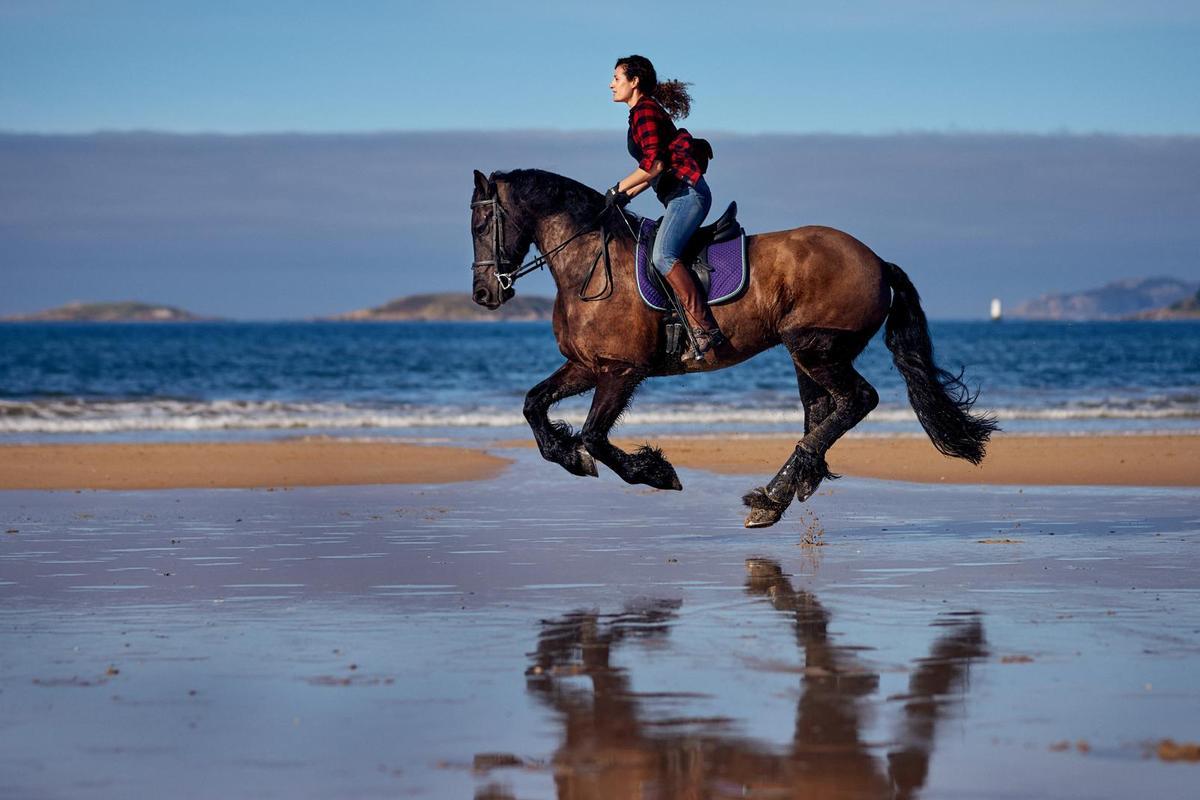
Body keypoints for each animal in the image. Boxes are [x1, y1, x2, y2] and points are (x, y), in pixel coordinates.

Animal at [469, 168, 996, 528]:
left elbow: (595, 437)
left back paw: (772, 495)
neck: (591, 266)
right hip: (806, 352)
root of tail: (877, 261)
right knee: (824, 410)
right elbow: (533, 404)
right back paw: (792, 486)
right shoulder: (584, 365)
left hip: (815, 346)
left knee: (856, 400)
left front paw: (654, 471)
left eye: (480, 224)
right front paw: (566, 453)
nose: (483, 294)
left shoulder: (619, 371)